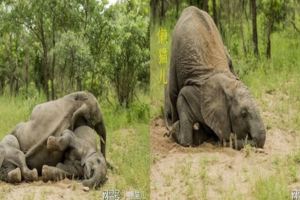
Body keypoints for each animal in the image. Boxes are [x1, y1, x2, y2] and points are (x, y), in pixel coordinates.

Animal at [166, 6, 268, 148]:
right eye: (243, 114)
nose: (233, 137)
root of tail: (189, 9)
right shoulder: (197, 95)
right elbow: (183, 95)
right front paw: (178, 130)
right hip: (173, 57)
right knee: (173, 93)